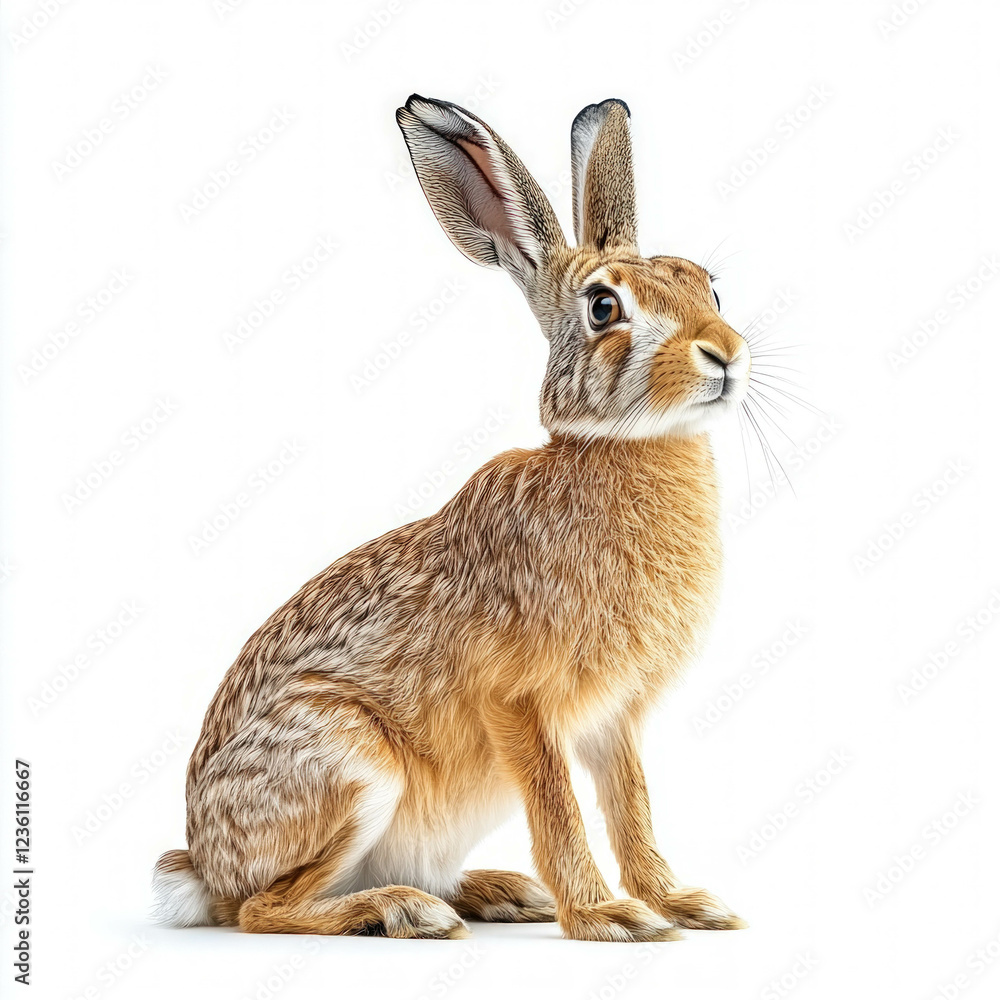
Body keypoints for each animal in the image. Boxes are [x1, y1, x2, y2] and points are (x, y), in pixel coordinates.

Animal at [152, 95, 752, 942]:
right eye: (604, 307)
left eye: (711, 288)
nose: (726, 352)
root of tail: (203, 868)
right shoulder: (516, 701)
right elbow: (558, 807)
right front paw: (608, 917)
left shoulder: (615, 717)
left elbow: (632, 807)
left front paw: (681, 904)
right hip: (348, 760)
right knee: (263, 908)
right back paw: (402, 911)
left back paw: (500, 892)